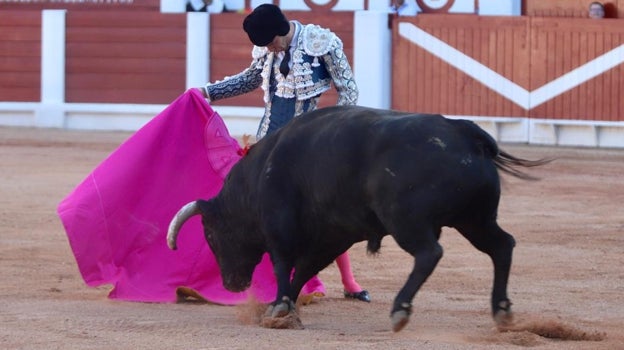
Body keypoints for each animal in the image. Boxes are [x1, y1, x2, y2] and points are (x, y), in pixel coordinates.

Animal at [167, 105, 552, 332]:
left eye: (211, 236)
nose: (233, 284)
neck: (259, 175)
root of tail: (466, 133)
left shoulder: (281, 228)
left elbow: (283, 264)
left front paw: (278, 307)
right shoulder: (332, 235)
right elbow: (304, 269)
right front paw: (285, 309)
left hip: (407, 220)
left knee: (430, 253)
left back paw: (400, 310)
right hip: (475, 219)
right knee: (502, 246)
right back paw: (501, 310)